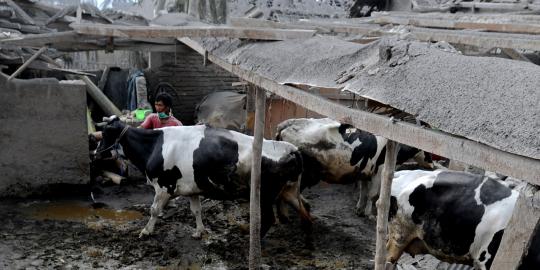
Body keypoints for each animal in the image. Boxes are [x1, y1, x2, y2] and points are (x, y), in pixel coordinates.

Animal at [95, 116, 310, 238]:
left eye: (105, 134)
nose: (96, 153)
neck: (154, 146)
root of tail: (290, 148)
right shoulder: (191, 189)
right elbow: (196, 210)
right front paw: (199, 232)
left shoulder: (164, 186)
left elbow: (154, 210)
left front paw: (146, 231)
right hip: (288, 190)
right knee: (305, 211)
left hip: (264, 194)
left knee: (268, 219)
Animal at [276, 117, 432, 217]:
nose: (432, 163)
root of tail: (287, 124)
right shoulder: (379, 172)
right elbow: (372, 194)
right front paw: (369, 214)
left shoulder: (364, 172)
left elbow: (363, 191)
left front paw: (359, 209)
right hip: (305, 174)